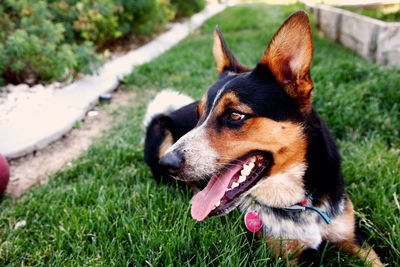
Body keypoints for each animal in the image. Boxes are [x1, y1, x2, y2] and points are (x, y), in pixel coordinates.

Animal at [143, 9, 382, 266]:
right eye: (199, 114)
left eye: (235, 115)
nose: (167, 163)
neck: (299, 203)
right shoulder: (282, 257)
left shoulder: (354, 238)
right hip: (160, 131)